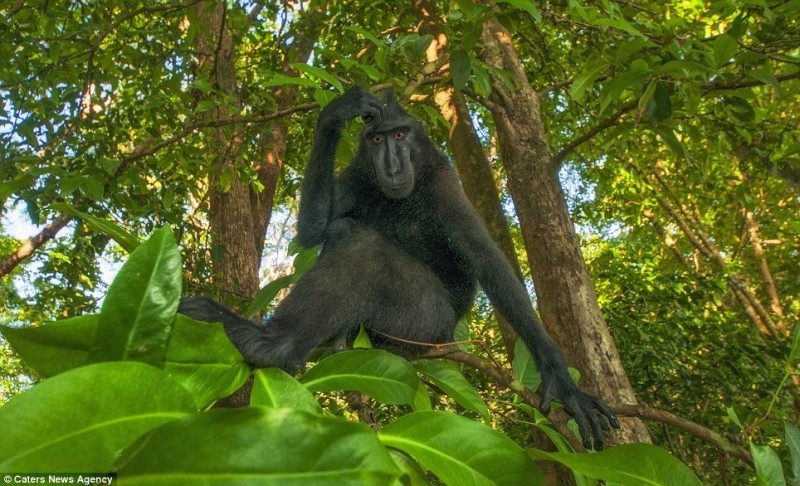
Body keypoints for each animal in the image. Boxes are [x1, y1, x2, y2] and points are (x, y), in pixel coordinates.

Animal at [181, 85, 620, 450]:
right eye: (376, 139)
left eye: (400, 136)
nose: (391, 166)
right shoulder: (357, 175)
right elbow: (311, 232)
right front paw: (336, 113)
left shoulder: (444, 185)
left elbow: (490, 264)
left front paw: (562, 381)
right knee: (341, 230)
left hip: (424, 323)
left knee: (365, 249)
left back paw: (268, 345)